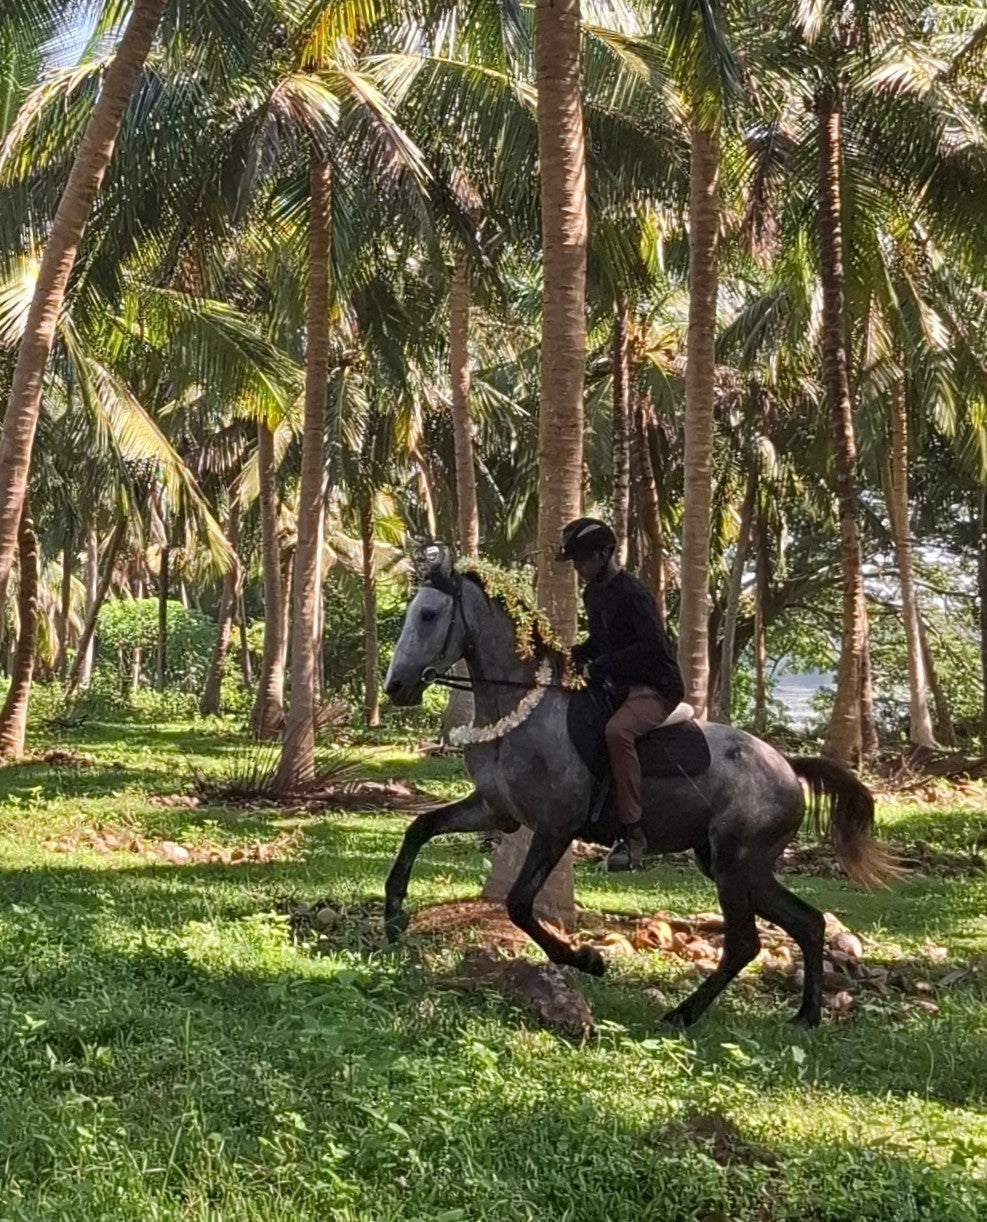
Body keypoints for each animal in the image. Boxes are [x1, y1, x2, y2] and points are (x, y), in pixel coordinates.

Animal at [382, 557, 896, 1027]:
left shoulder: (555, 828)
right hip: (739, 866)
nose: (396, 686)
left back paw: (684, 1014)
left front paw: (587, 959)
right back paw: (805, 1015)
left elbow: (520, 905)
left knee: (743, 943)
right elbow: (419, 828)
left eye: (428, 614)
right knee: (807, 922)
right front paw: (393, 915)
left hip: (735, 865)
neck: (521, 708)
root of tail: (786, 766)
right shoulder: (494, 810)